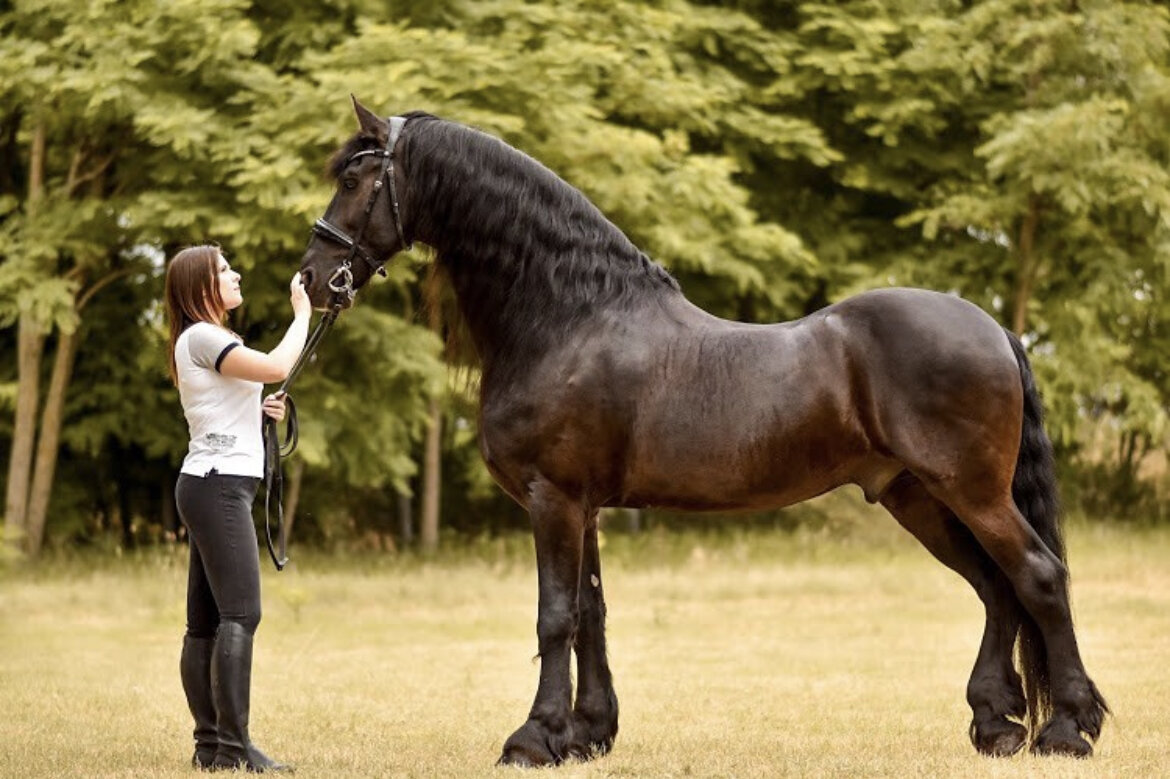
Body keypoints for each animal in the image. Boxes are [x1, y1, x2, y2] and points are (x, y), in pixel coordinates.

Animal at [299, 100, 1104, 762]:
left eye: (356, 179)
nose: (312, 276)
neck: (570, 318)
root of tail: (994, 326)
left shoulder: (552, 498)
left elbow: (554, 616)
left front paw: (533, 738)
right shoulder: (583, 506)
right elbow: (591, 612)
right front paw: (587, 733)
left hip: (970, 491)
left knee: (1037, 577)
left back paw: (1067, 729)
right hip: (919, 497)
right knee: (997, 589)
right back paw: (997, 724)